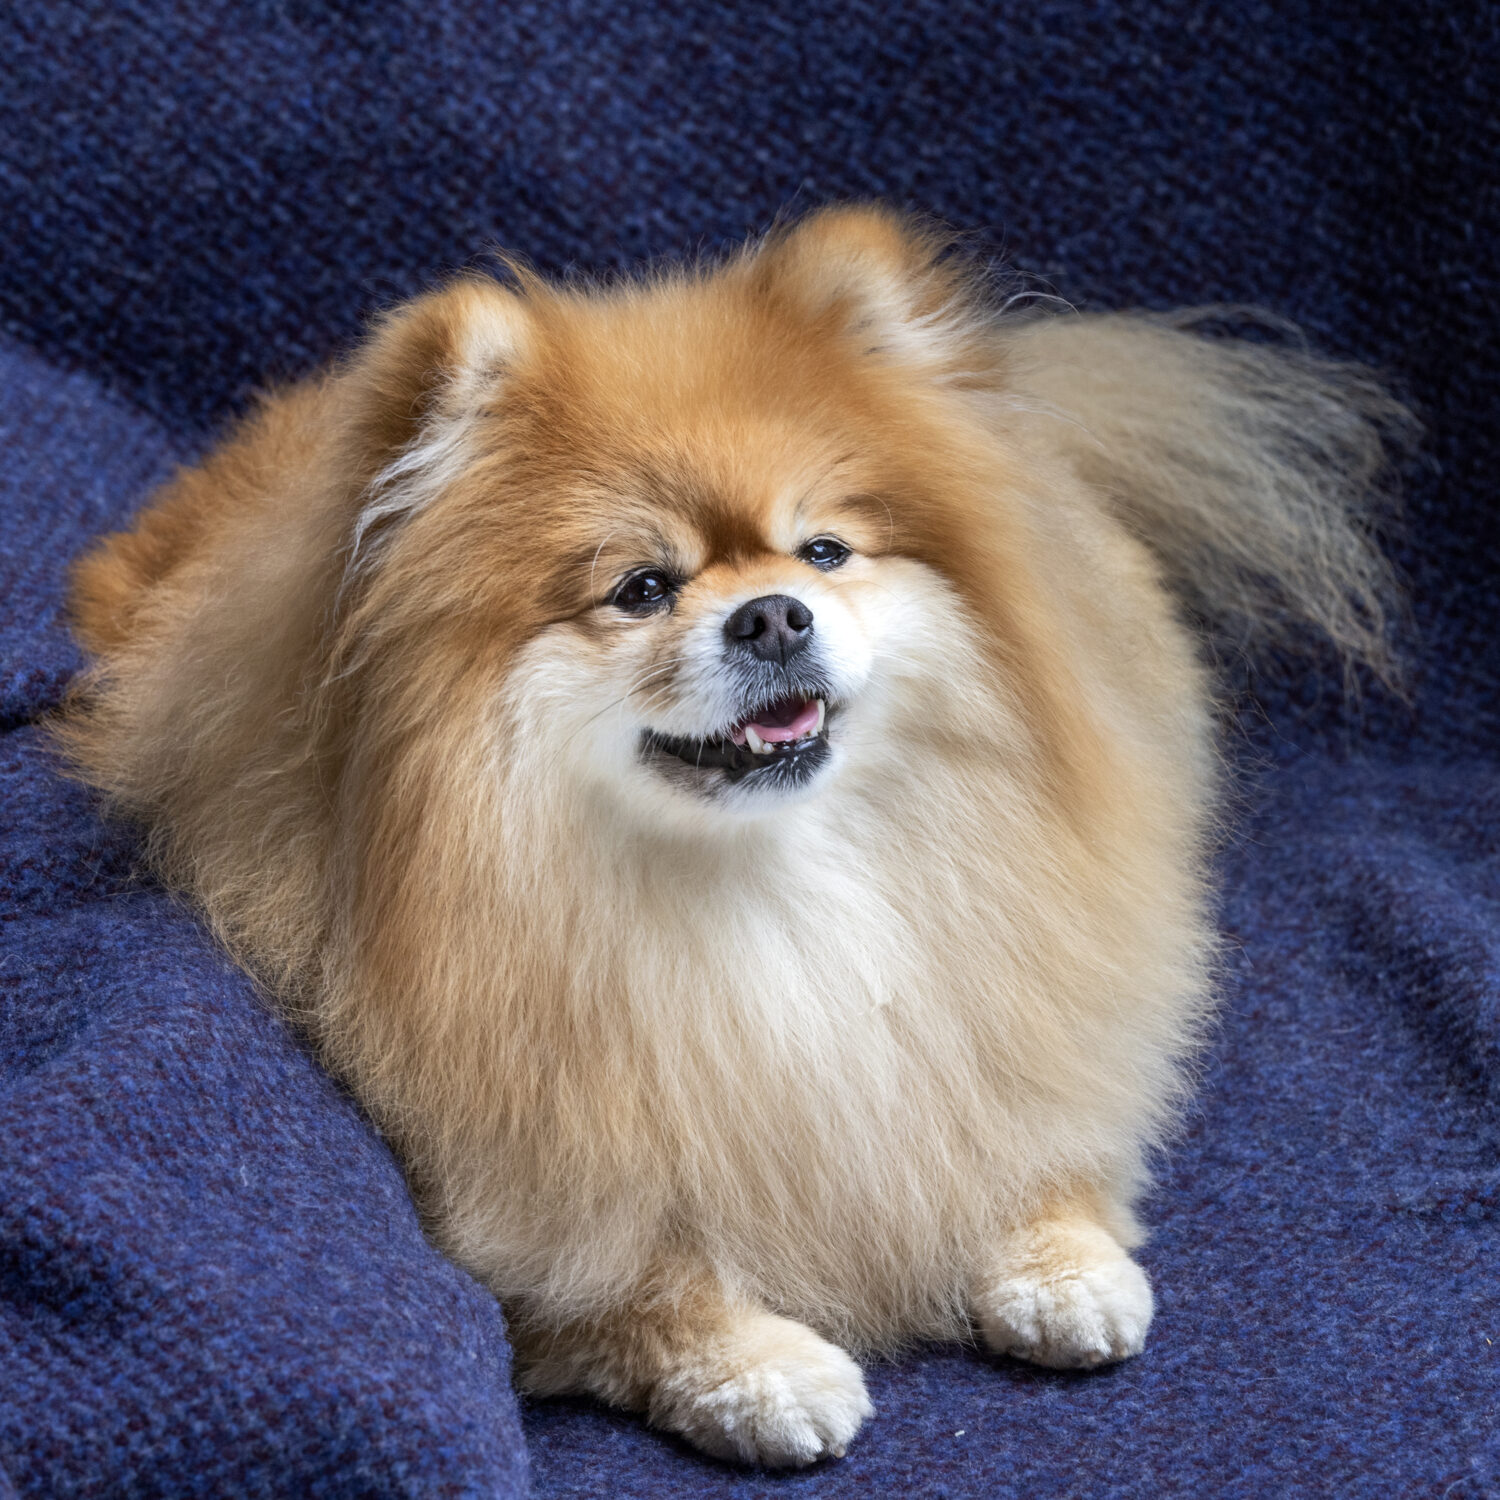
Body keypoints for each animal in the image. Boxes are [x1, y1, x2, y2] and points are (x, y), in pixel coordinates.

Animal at [58, 206, 1406, 1466]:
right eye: (642, 588)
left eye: (824, 549)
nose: (770, 614)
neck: (765, 886)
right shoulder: (517, 1191)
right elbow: (632, 1281)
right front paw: (762, 1370)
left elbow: (1018, 1127)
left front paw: (1061, 1264)